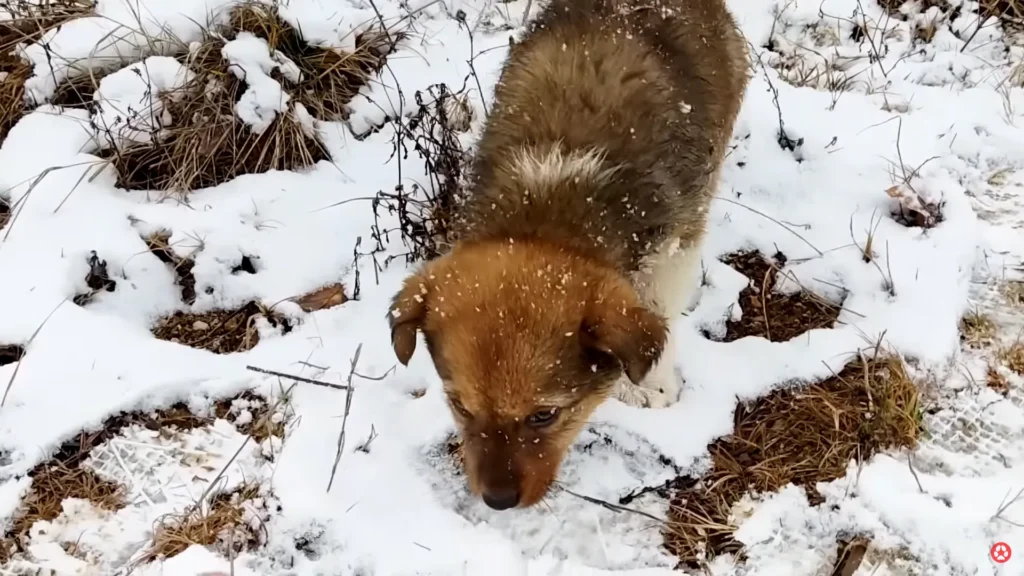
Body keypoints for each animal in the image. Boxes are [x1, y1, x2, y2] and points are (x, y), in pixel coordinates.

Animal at [387, 0, 749, 506]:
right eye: (460, 406)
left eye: (544, 415)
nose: (497, 502)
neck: (548, 208)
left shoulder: (677, 239)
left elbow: (659, 306)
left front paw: (650, 387)